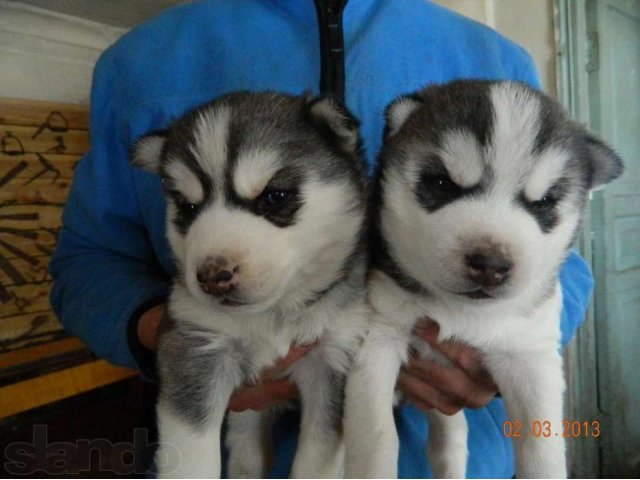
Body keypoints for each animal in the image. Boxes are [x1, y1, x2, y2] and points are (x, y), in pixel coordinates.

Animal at [131, 92, 364, 478]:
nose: (212, 276)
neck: (272, 316)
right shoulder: (194, 350)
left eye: (275, 196)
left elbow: (317, 456)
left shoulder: (332, 361)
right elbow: (192, 455)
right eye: (187, 207)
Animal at [348, 80, 624, 478]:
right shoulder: (378, 335)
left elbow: (542, 448)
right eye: (442, 183)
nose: (490, 264)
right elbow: (376, 435)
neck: (463, 312)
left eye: (543, 202)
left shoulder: (531, 357)